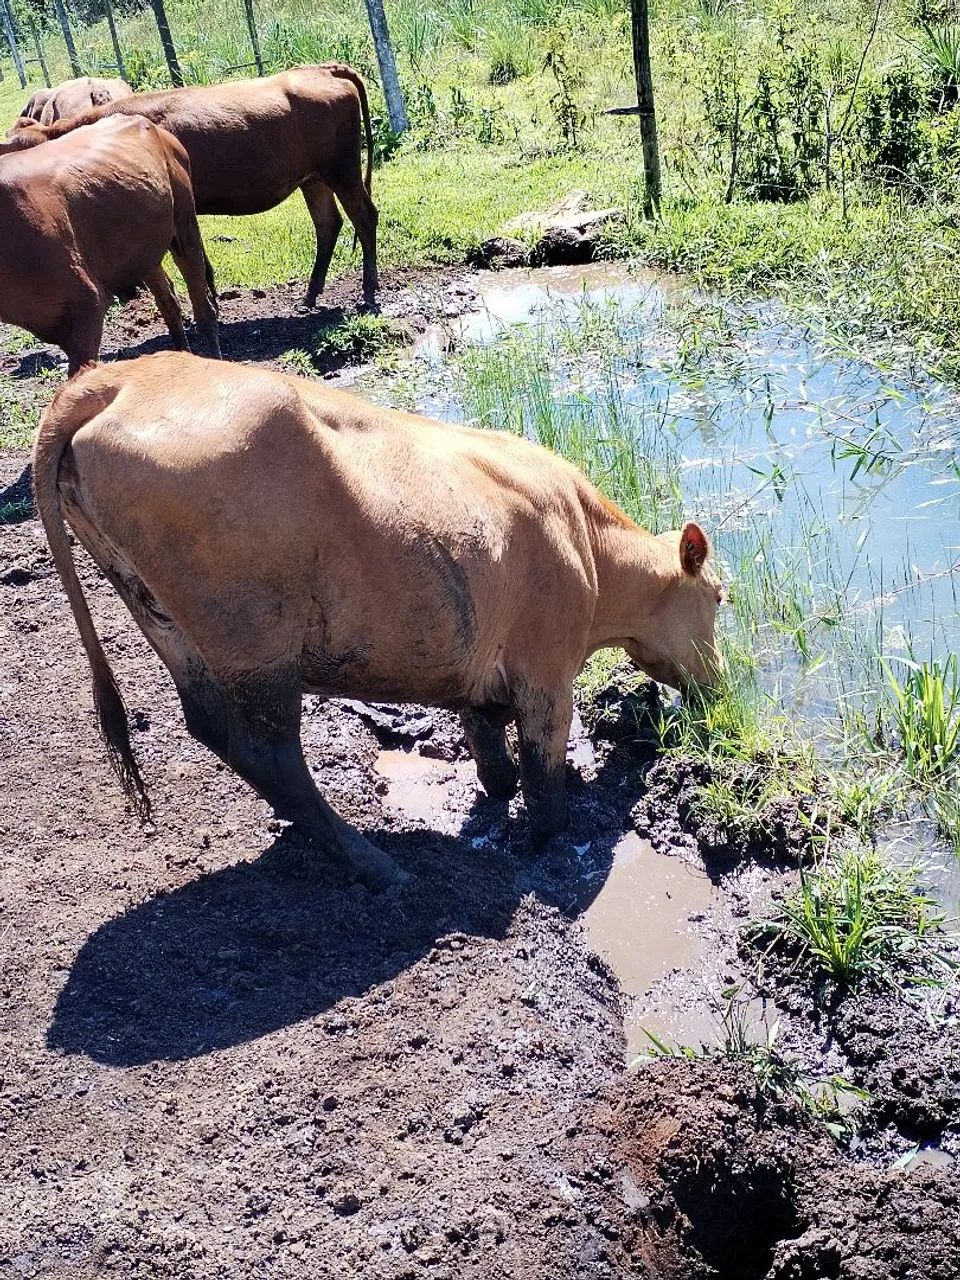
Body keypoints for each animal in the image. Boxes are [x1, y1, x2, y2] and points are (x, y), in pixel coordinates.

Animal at [9, 65, 378, 307]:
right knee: (328, 224)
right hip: (313, 178)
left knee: (364, 216)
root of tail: (322, 69)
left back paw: (369, 288)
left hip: (342, 170)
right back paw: (310, 294)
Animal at [33, 353, 723, 890]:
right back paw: (377, 866)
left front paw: (496, 789)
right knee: (270, 753)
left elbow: (488, 742)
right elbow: (543, 764)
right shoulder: (546, 666)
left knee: (214, 728)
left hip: (168, 623)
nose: (719, 684)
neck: (588, 544)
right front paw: (549, 836)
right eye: (720, 598)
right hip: (254, 643)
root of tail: (121, 378)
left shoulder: (479, 662)